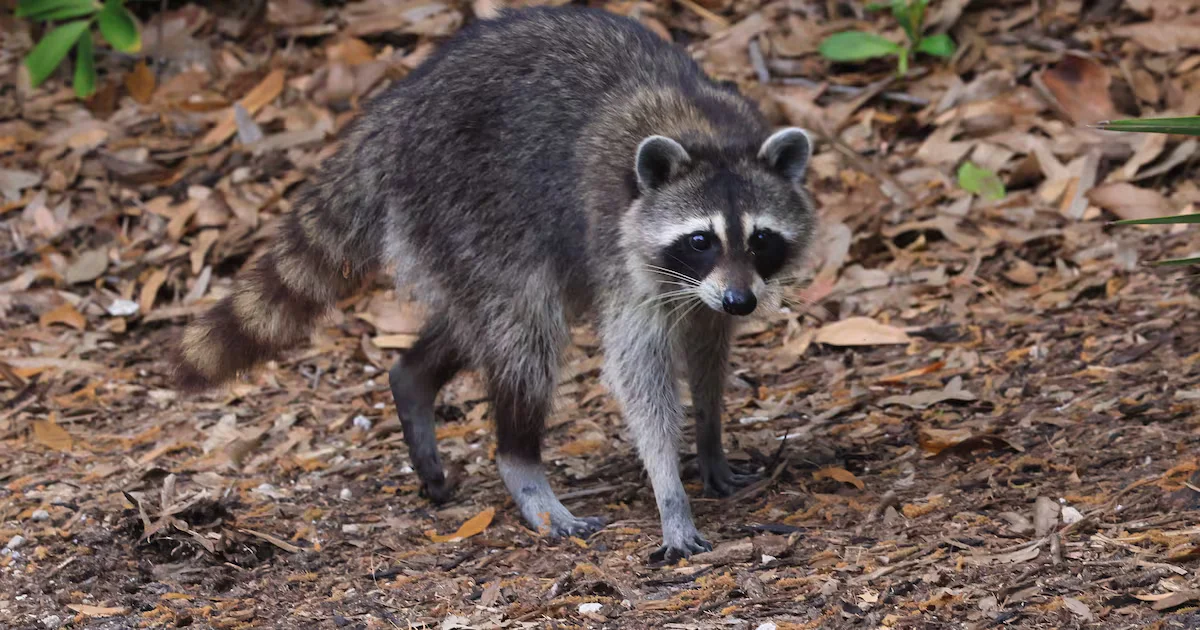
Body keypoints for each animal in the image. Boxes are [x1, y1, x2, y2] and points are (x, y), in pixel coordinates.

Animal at [174, 5, 816, 561]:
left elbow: (708, 346)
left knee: (477, 321)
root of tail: (391, 115)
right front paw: (669, 491)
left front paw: (709, 438)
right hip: (468, 206)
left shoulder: (707, 287)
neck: (704, 132)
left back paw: (414, 378)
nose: (742, 301)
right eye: (701, 239)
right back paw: (520, 461)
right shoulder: (621, 245)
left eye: (761, 238)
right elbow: (639, 372)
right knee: (524, 332)